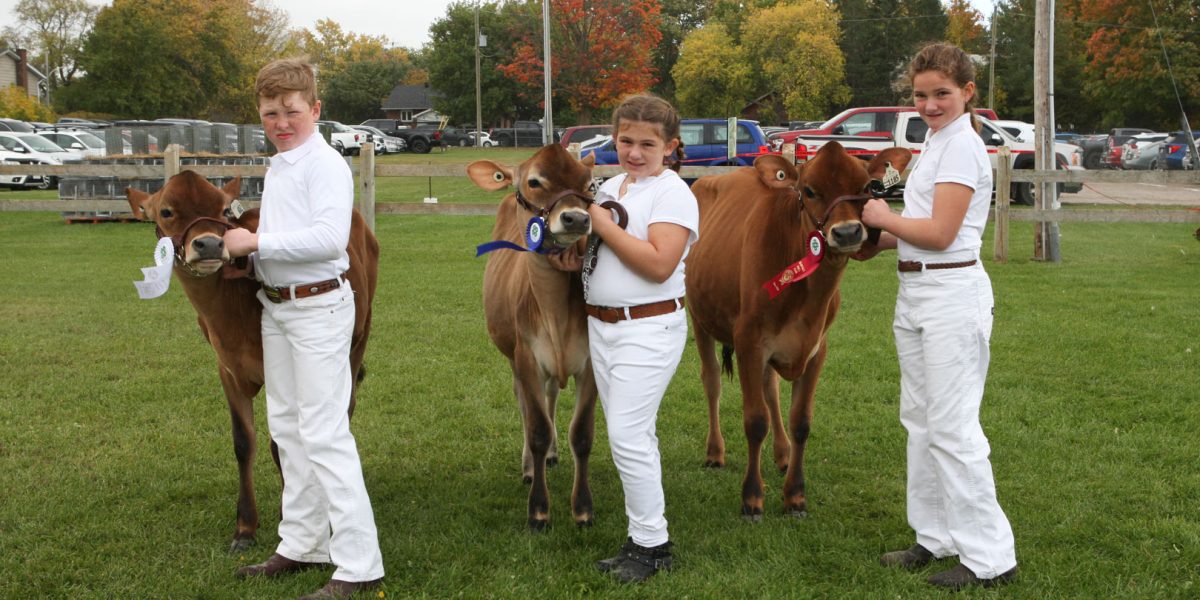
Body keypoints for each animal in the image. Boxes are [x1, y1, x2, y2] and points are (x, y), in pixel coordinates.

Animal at [126, 170, 379, 552]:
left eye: (222, 208)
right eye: (167, 211)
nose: (209, 245)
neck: (227, 314)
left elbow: (281, 444)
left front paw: (290, 515)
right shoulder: (227, 370)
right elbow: (243, 443)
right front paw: (245, 527)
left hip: (356, 340)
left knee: (342, 410)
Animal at [686, 142, 907, 518]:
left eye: (866, 187)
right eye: (809, 190)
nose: (847, 232)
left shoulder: (817, 348)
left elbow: (801, 421)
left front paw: (795, 496)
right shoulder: (748, 341)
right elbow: (754, 420)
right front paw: (752, 498)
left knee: (771, 389)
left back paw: (782, 454)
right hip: (698, 316)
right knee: (712, 380)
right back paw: (715, 451)